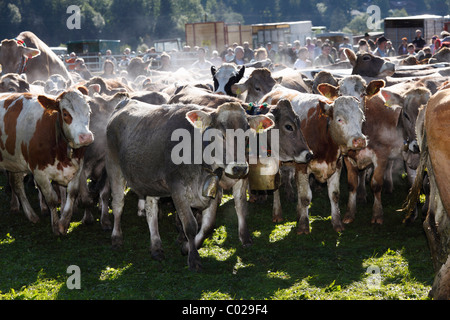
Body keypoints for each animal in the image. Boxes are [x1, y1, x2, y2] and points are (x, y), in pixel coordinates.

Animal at [0, 89, 93, 234]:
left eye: (88, 111)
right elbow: (52, 199)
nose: (86, 137)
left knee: (18, 186)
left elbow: (72, 194)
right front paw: (56, 226)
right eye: (65, 113)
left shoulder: (77, 169)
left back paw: (31, 215)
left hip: (16, 162)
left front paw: (64, 222)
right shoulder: (39, 173)